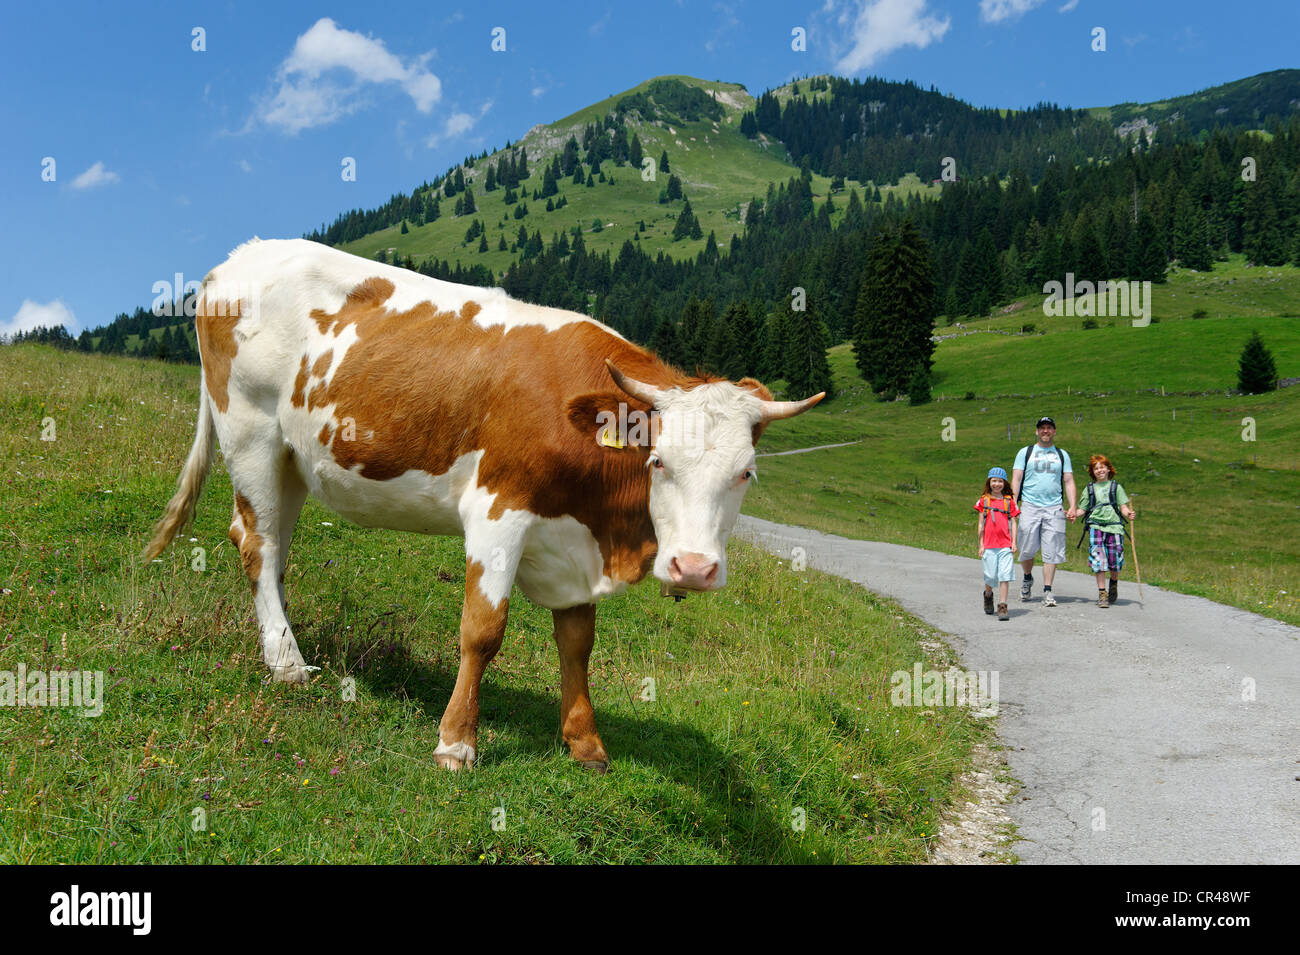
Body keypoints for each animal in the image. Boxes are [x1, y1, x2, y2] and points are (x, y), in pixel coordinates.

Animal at [144, 242, 821, 774]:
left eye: (746, 474)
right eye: (658, 463)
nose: (694, 569)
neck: (606, 537)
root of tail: (239, 257)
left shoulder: (573, 539)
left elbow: (577, 643)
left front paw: (585, 743)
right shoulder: (500, 511)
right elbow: (483, 631)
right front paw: (455, 743)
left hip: (292, 457)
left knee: (275, 548)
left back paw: (279, 639)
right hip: (250, 430)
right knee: (256, 542)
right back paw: (287, 664)